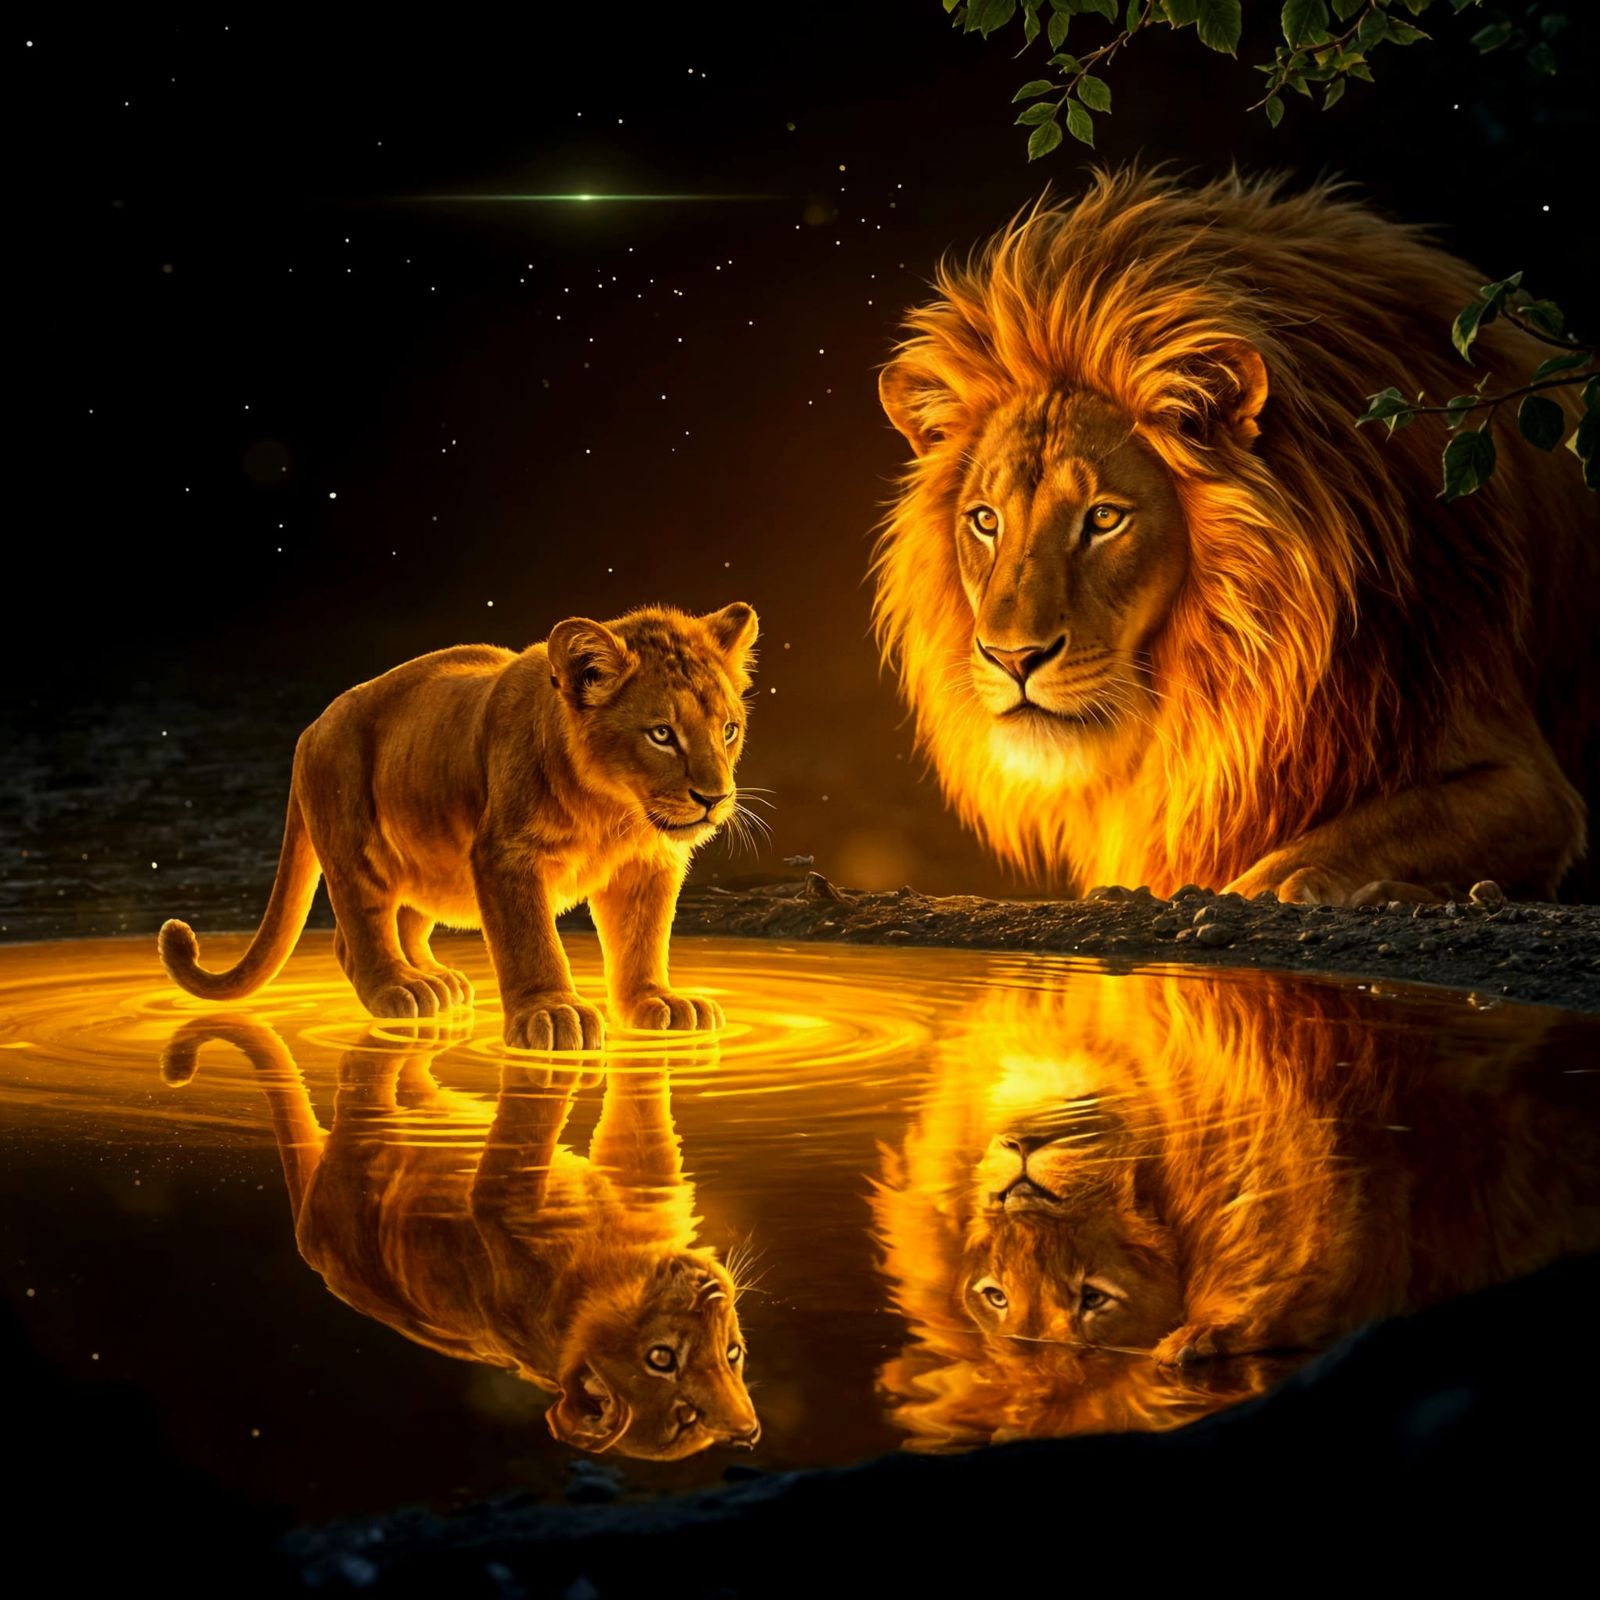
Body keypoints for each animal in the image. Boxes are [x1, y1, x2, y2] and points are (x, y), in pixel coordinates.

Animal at [159, 604, 759, 1049]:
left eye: (728, 730)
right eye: (661, 734)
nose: (714, 799)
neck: (614, 812)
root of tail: (312, 726)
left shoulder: (649, 863)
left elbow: (642, 939)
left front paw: (654, 1001)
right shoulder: (505, 856)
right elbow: (530, 940)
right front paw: (552, 1014)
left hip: (429, 861)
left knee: (399, 922)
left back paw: (436, 980)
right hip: (354, 842)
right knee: (360, 931)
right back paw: (401, 988)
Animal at [161, 1019, 760, 1460]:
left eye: (733, 1354)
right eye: (662, 1361)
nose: (749, 1433)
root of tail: (310, 1243)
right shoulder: (500, 1196)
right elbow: (529, 1124)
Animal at [874, 169, 1598, 902]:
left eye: (1103, 518)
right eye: (985, 521)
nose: (1013, 658)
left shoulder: (1528, 782)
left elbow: (1347, 839)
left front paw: (1285, 880)